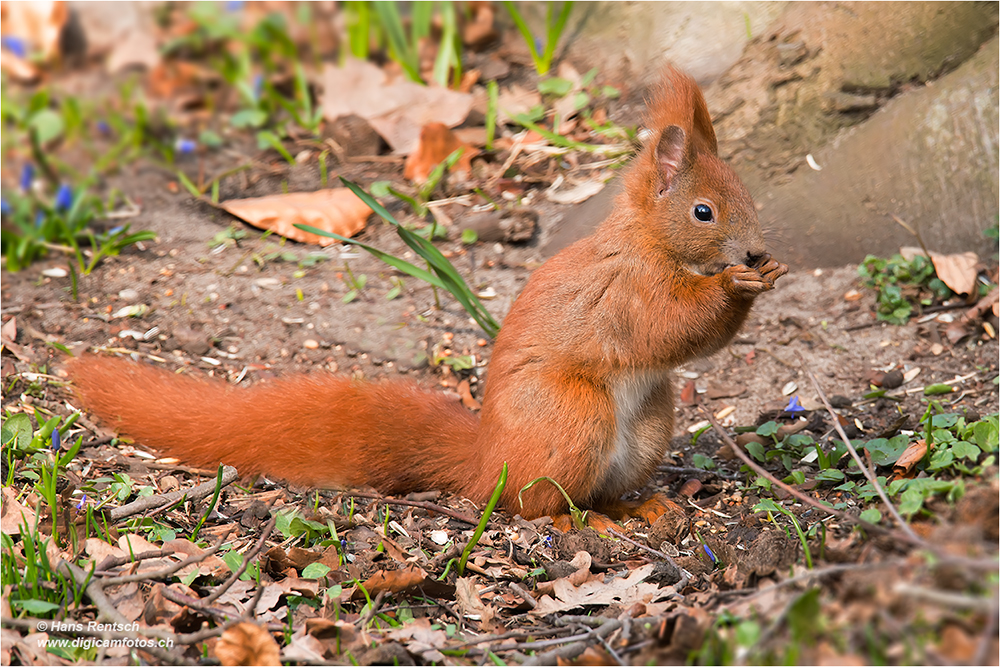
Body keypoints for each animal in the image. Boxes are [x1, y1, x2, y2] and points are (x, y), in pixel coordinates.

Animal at [68, 68, 788, 528]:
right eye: (703, 210)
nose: (755, 251)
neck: (650, 243)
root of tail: (487, 464)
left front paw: (768, 271)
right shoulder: (628, 293)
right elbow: (671, 327)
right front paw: (737, 285)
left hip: (649, 425)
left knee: (595, 491)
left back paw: (636, 505)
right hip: (571, 415)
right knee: (534, 507)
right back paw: (583, 525)